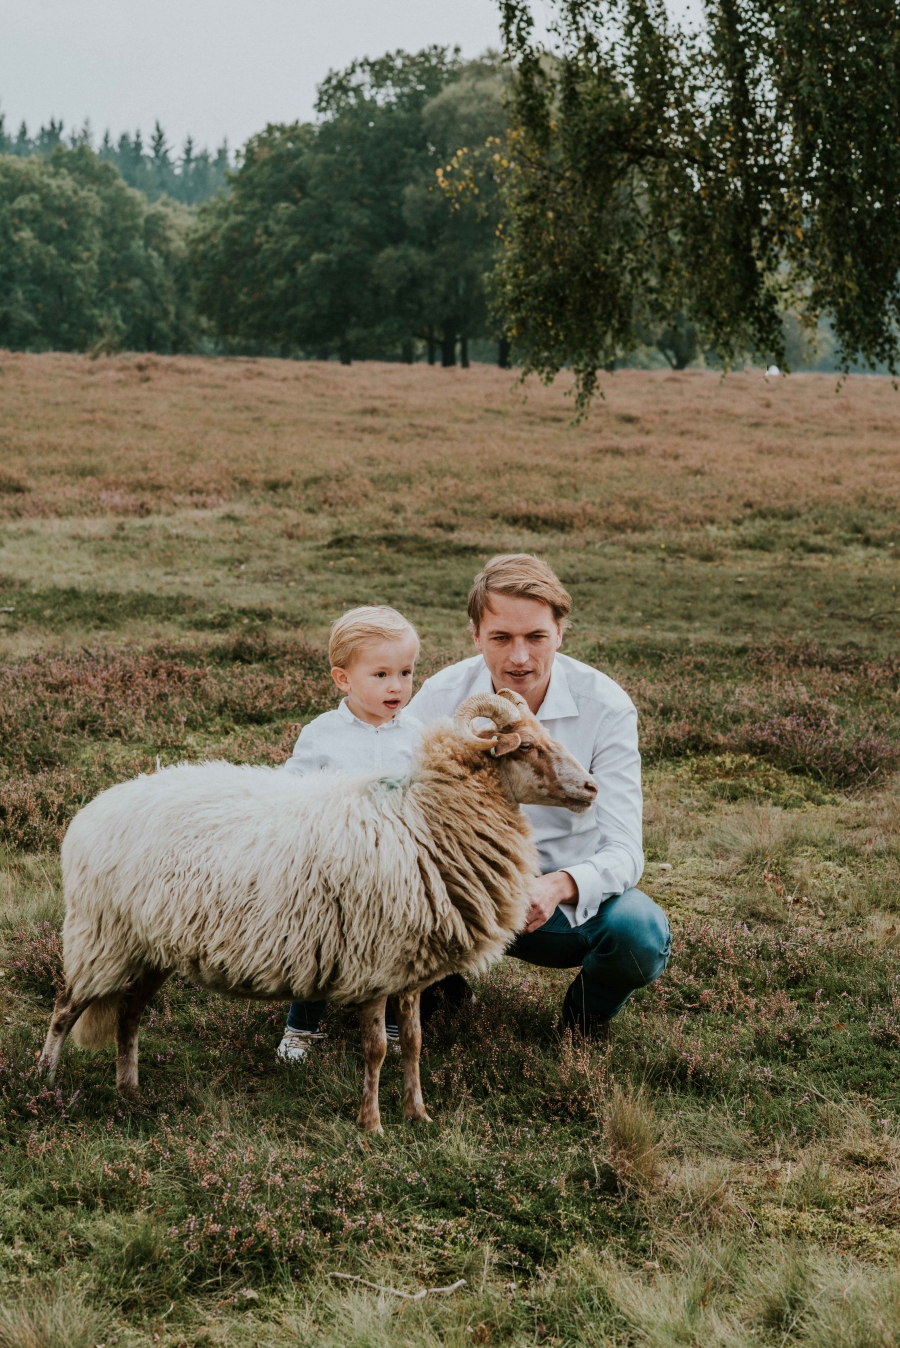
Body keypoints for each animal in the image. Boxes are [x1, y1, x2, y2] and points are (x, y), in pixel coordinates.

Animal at [38, 690, 598, 1132]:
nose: (592, 788)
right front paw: (371, 1125)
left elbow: (414, 1043)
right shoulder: (374, 963)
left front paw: (418, 1115)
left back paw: (129, 1091)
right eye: (525, 746)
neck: (424, 817)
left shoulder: (411, 966)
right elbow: (375, 1049)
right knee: (65, 1008)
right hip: (102, 937)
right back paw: (44, 1087)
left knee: (129, 1014)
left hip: (150, 948)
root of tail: (92, 812)